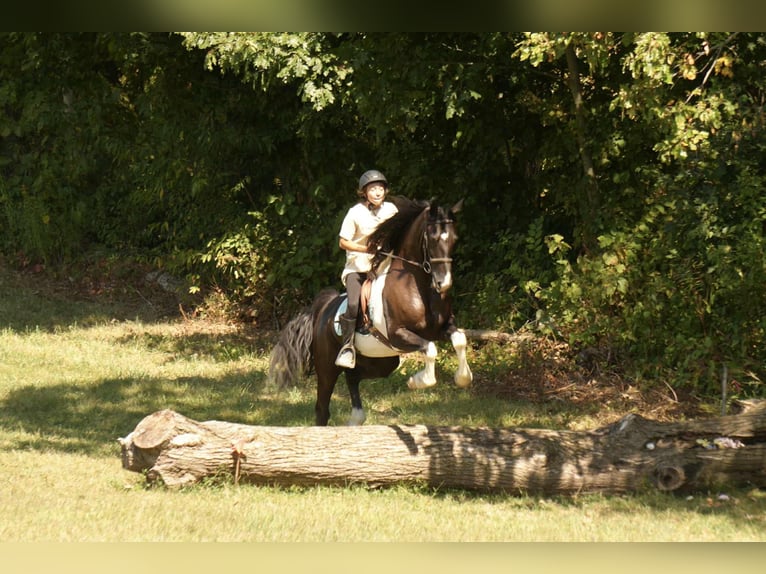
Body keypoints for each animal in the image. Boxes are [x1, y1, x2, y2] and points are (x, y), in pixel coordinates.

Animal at [268, 196, 472, 425]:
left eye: (454, 238)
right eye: (433, 237)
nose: (443, 283)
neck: (417, 287)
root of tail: (323, 309)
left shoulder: (442, 328)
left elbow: (460, 339)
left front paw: (463, 378)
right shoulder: (398, 334)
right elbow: (430, 349)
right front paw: (416, 381)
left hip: (382, 362)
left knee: (353, 377)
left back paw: (355, 419)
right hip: (327, 367)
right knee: (322, 408)